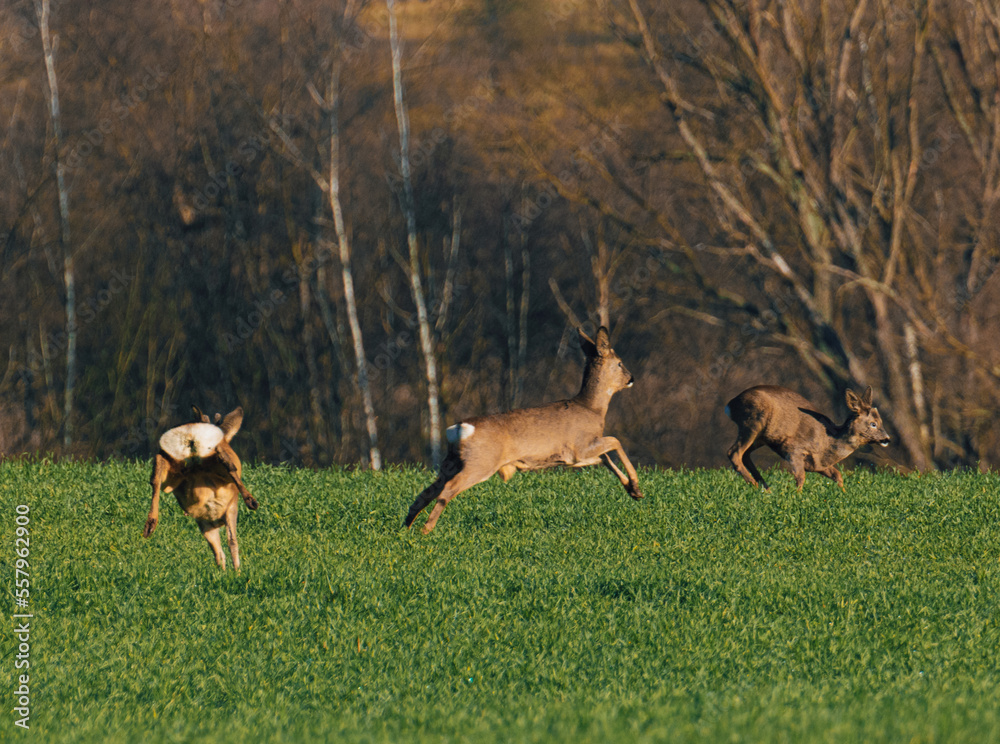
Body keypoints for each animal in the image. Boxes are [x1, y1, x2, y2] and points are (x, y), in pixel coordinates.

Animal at [142, 406, 258, 570]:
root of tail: (192, 434)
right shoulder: (230, 509)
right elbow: (232, 543)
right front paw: (237, 571)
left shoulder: (206, 523)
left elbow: (219, 552)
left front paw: (223, 572)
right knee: (227, 462)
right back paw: (251, 501)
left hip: (171, 463)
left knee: (156, 473)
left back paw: (149, 525)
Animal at [405, 326, 643, 534]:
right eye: (620, 363)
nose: (632, 378)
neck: (592, 409)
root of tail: (460, 428)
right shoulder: (580, 446)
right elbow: (615, 441)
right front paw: (637, 486)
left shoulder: (577, 456)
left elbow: (606, 458)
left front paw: (633, 490)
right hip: (480, 462)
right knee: (447, 490)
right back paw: (426, 529)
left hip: (451, 463)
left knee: (425, 493)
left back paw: (406, 528)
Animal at [725, 385, 890, 491]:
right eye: (873, 423)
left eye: (881, 421)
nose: (887, 439)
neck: (828, 441)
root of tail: (730, 404)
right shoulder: (793, 449)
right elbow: (800, 477)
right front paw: (796, 497)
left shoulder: (818, 464)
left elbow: (837, 475)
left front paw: (844, 494)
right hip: (753, 422)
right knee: (734, 453)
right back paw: (755, 486)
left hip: (761, 436)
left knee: (745, 454)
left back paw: (766, 489)